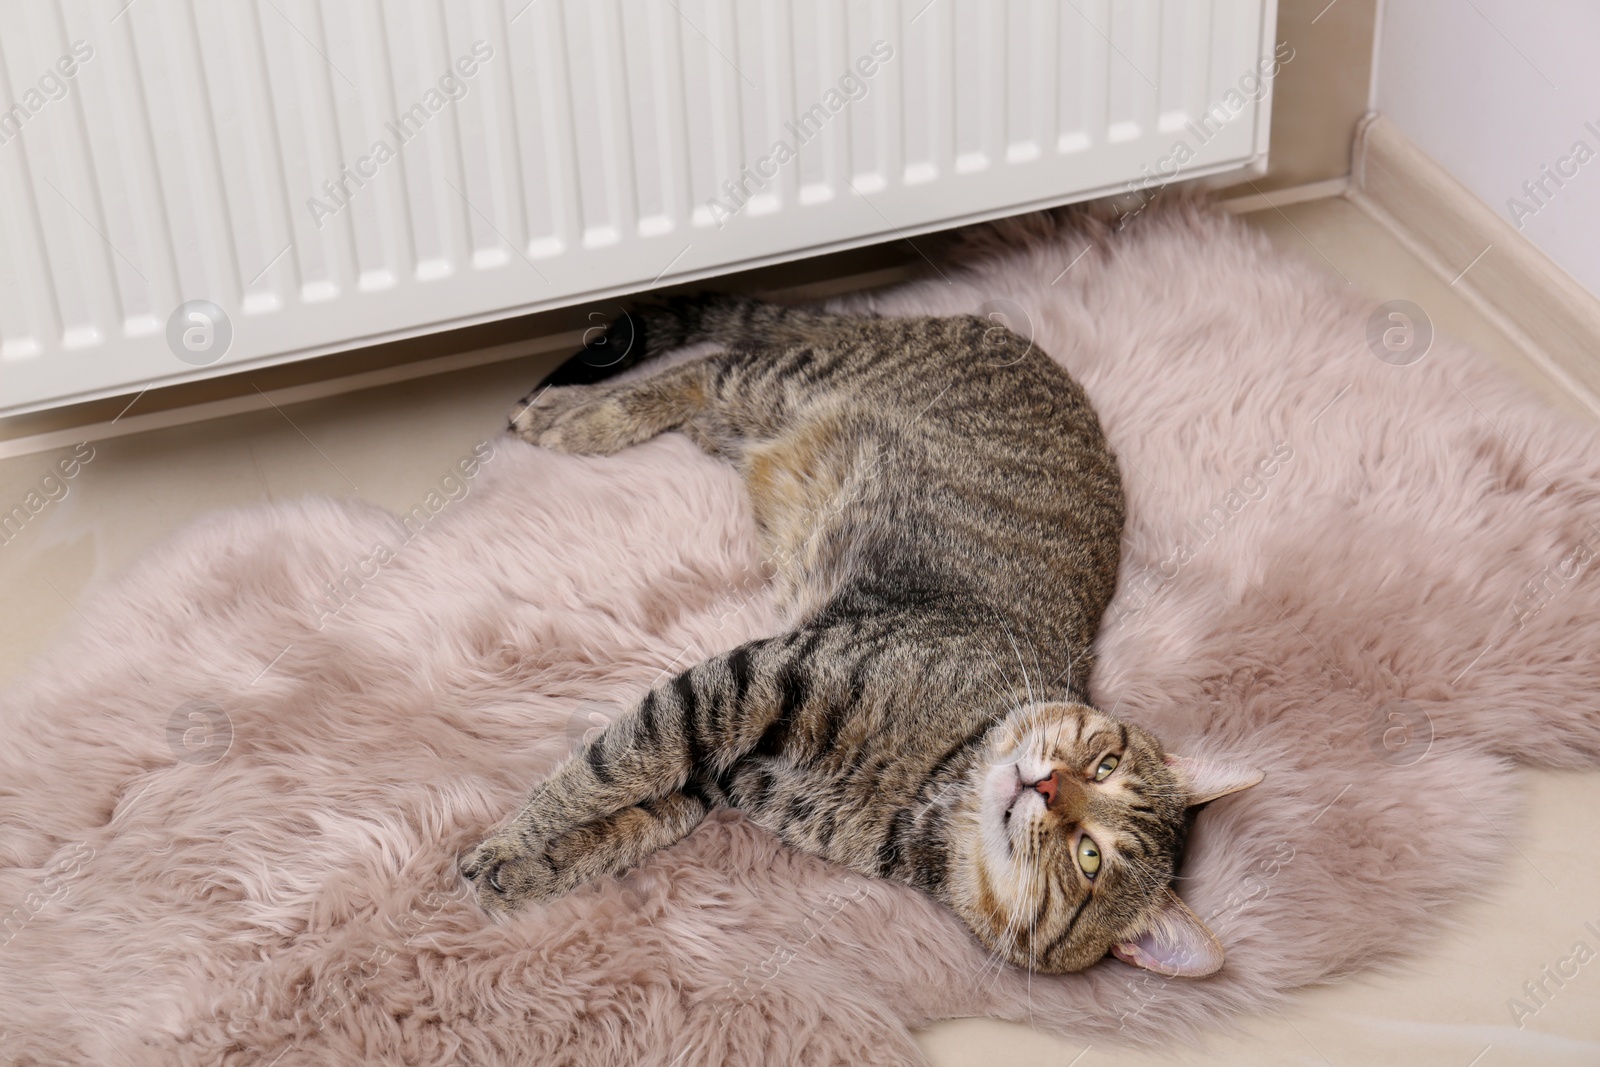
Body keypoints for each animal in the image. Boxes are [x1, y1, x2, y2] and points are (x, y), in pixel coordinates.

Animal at [464, 292, 1260, 979]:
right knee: (707, 366)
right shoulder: (747, 683)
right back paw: (574, 415)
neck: (932, 789)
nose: (1047, 782)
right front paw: (518, 836)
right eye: (1103, 763)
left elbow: (641, 811)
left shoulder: (725, 763)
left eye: (1089, 858)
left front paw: (529, 865)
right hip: (785, 383)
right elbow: (609, 765)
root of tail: (956, 321)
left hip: (756, 423)